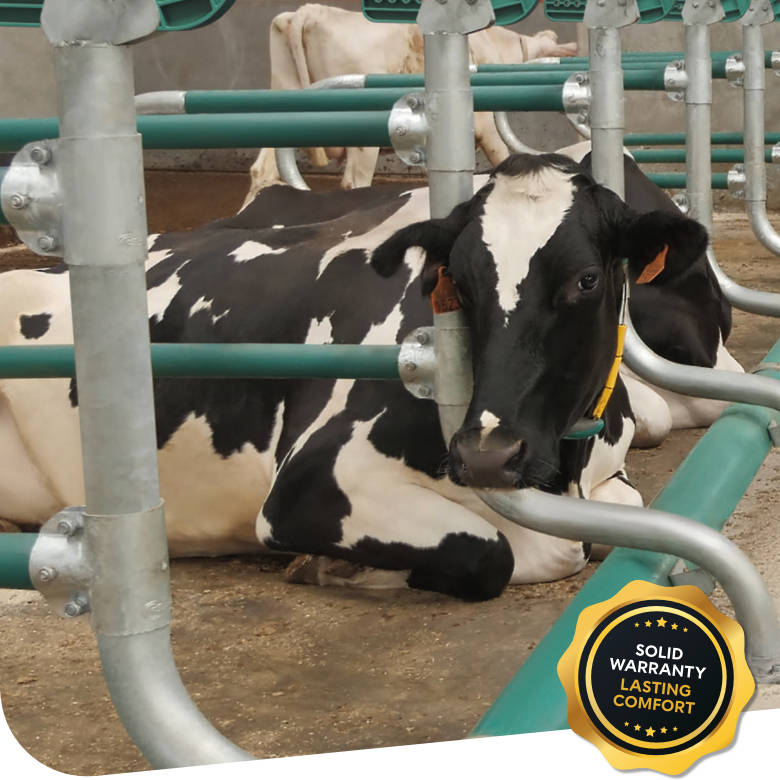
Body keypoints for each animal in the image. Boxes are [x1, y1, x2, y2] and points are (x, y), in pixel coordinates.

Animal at [0, 153, 725, 599]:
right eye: (458, 283)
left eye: (586, 279)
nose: (485, 454)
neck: (562, 470)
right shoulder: (312, 483)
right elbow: (505, 550)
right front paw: (335, 568)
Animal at [243, 4, 578, 206]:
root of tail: (309, 12)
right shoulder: (484, 125)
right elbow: (503, 157)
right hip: (361, 138)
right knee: (354, 181)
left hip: (281, 101)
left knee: (262, 171)